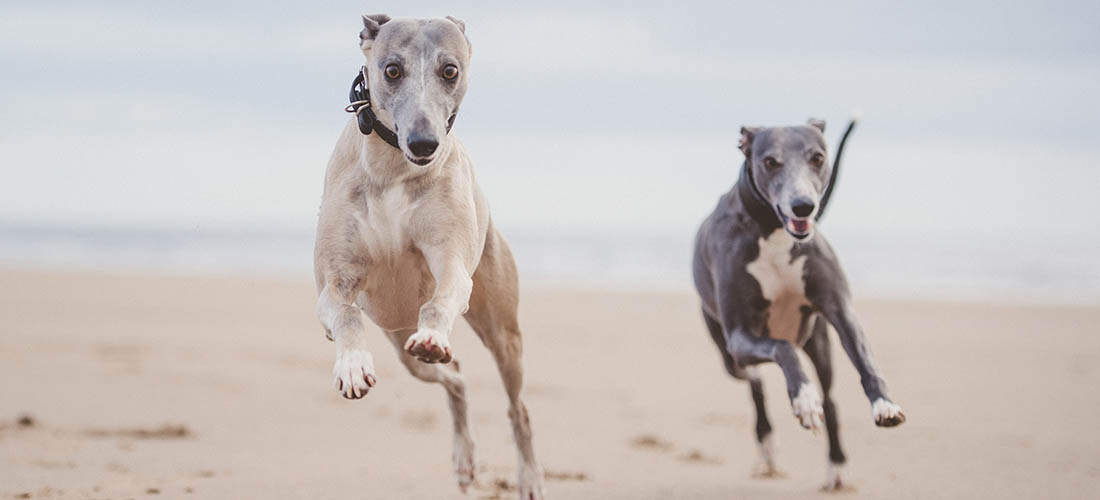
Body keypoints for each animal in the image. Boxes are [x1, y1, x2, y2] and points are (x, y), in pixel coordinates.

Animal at [312, 15, 543, 500]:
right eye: (392, 69)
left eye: (450, 70)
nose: (424, 144)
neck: (392, 168)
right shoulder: (333, 283)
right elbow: (346, 314)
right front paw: (352, 364)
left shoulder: (451, 263)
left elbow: (441, 298)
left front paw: (435, 333)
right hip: (402, 345)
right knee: (456, 377)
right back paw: (464, 458)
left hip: (503, 334)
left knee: (517, 407)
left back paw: (529, 476)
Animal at [695, 119, 902, 492]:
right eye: (770, 161)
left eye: (817, 157)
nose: (803, 205)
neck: (775, 233)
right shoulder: (740, 336)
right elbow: (782, 350)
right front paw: (803, 398)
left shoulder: (839, 310)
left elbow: (866, 361)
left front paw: (885, 403)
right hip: (731, 357)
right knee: (756, 383)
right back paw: (768, 445)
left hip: (818, 341)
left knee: (830, 400)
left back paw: (836, 466)